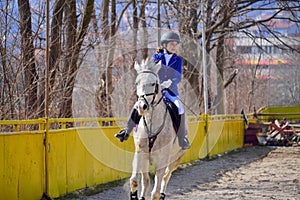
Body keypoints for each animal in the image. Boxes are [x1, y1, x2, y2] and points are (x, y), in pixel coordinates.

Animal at [131, 59, 186, 200]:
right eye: (136, 83)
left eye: (153, 83)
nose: (141, 106)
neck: (151, 123)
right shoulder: (140, 152)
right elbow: (135, 181)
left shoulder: (163, 158)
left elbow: (154, 192)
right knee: (146, 181)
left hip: (175, 158)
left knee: (166, 177)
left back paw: (162, 194)